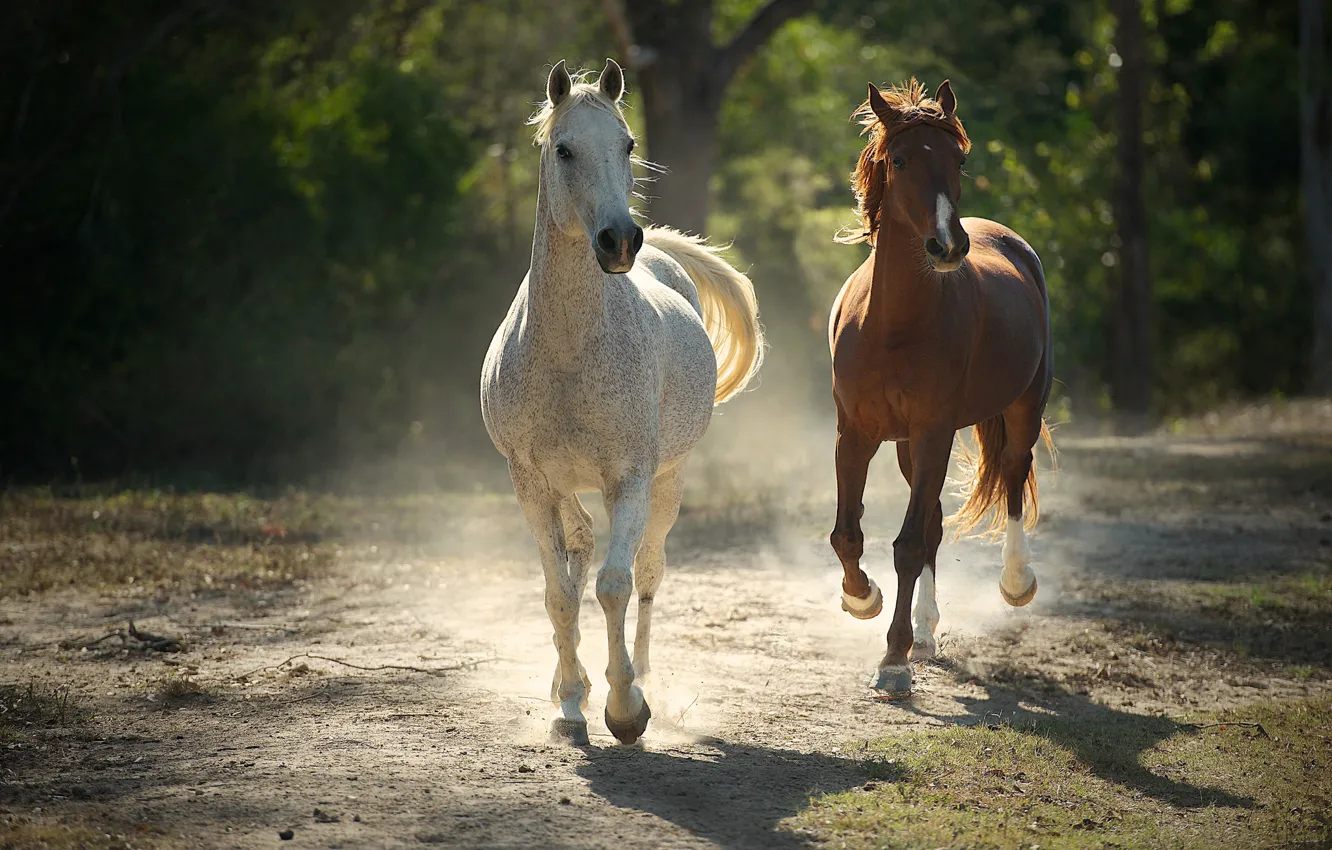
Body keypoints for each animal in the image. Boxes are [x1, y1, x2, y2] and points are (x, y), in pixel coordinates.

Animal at [484, 59, 767, 746]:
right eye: (564, 149)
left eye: (628, 145)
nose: (619, 241)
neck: (567, 351)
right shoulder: (530, 483)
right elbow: (560, 592)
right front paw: (569, 705)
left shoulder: (630, 480)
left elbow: (614, 585)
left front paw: (625, 706)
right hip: (565, 486)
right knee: (580, 549)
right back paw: (570, 686)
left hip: (669, 482)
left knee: (647, 573)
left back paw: (644, 682)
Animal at [831, 78, 1049, 692]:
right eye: (900, 160)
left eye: (960, 159)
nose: (948, 246)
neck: (892, 325)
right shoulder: (855, 434)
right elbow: (848, 535)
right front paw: (863, 598)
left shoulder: (934, 431)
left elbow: (905, 545)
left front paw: (893, 659)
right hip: (908, 446)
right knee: (931, 525)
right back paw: (926, 633)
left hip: (1023, 405)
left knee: (1013, 473)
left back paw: (1016, 583)